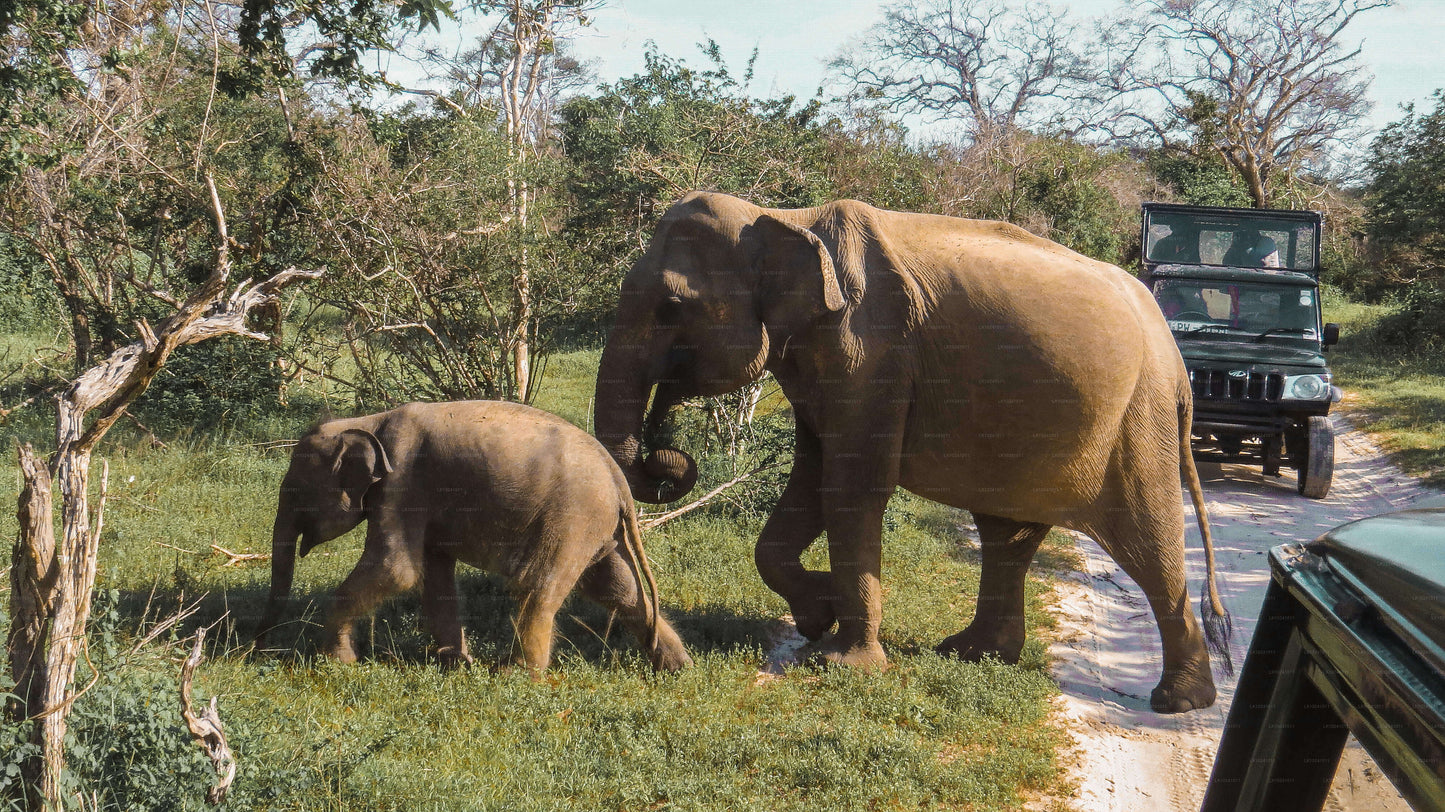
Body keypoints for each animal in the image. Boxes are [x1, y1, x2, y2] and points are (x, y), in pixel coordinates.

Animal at [252, 398, 693, 670]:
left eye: (295, 492)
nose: (257, 646)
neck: (367, 422)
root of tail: (619, 481)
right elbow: (432, 576)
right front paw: (455, 663)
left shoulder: (401, 484)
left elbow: (395, 569)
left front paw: (337, 662)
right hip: (595, 526)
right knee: (617, 588)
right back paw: (677, 667)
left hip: (572, 516)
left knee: (539, 586)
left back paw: (516, 675)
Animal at [592, 189, 1225, 707]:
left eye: (671, 308)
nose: (666, 455)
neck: (783, 217)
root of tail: (1176, 360)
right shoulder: (829, 360)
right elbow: (812, 478)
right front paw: (818, 616)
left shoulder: (871, 349)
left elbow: (851, 485)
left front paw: (844, 665)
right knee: (1006, 536)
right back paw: (971, 653)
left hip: (1137, 420)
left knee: (1147, 539)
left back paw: (1178, 701)